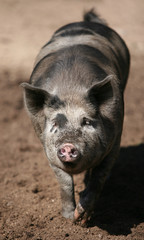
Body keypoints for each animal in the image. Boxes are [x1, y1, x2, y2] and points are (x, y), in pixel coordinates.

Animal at [20, 9, 130, 226]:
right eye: (55, 122)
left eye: (86, 121)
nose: (68, 146)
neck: (71, 91)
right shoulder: (48, 150)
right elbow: (64, 182)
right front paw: (68, 218)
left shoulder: (116, 139)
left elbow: (98, 178)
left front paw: (82, 219)